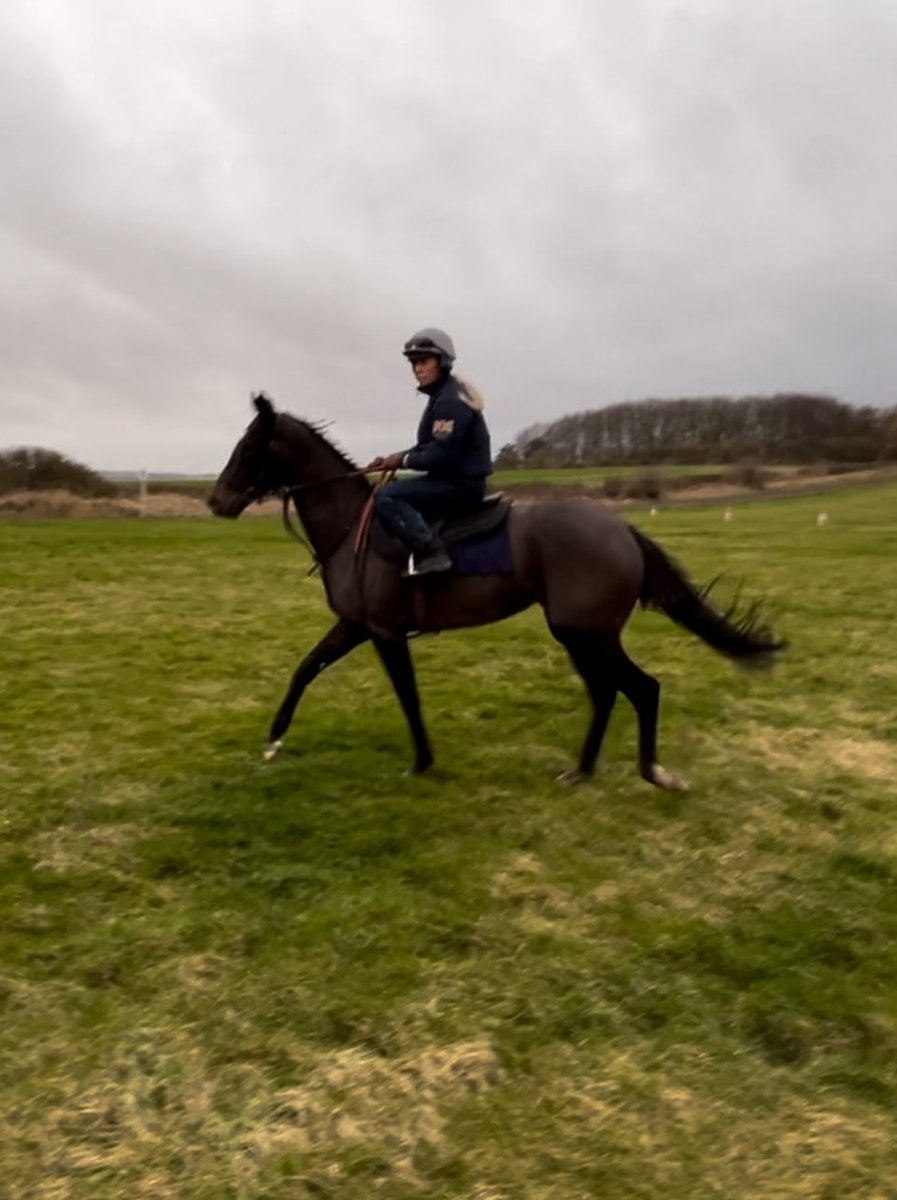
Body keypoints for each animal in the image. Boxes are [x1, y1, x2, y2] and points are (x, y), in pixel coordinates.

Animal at [209, 391, 786, 787]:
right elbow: (305, 669)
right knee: (608, 693)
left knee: (640, 688)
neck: (355, 528)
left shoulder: (384, 632)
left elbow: (407, 697)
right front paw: (273, 740)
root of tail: (623, 530)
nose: (216, 500)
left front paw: (422, 762)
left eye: (250, 445)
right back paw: (583, 770)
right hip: (582, 637)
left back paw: (652, 772)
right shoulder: (354, 625)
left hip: (587, 634)